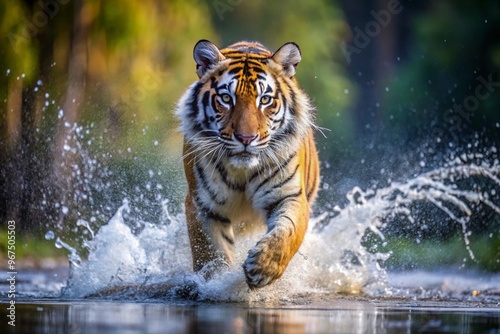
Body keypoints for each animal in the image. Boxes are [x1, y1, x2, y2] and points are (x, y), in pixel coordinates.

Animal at [174, 39, 318, 290]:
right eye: (226, 99)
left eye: (265, 100)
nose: (246, 138)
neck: (242, 172)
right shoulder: (203, 204)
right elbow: (212, 252)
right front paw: (216, 282)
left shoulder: (289, 195)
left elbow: (287, 233)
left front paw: (262, 268)